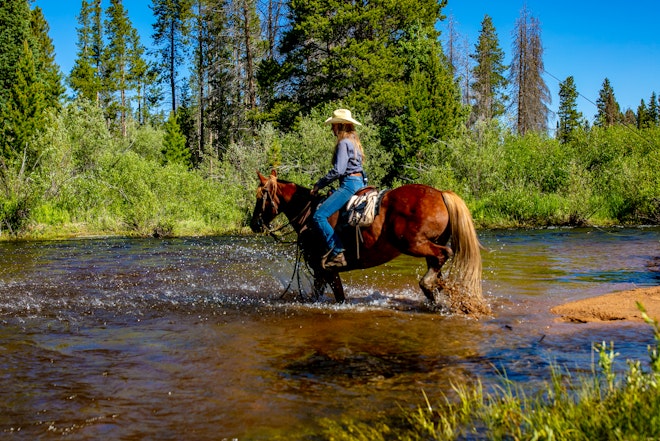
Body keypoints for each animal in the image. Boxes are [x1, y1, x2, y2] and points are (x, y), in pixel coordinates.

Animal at [250, 170, 490, 316]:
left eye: (260, 197)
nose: (254, 224)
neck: (309, 215)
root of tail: (440, 193)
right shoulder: (322, 272)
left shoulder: (324, 269)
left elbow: (336, 296)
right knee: (437, 264)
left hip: (413, 244)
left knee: (444, 253)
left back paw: (430, 284)